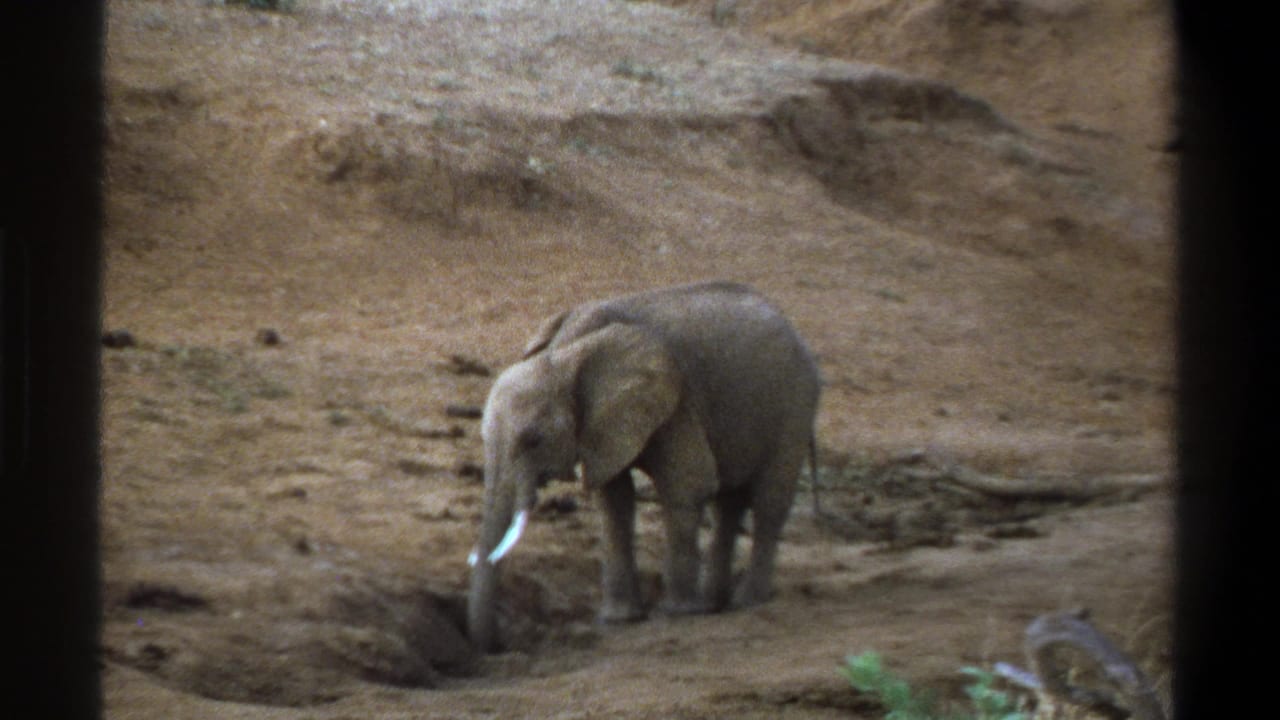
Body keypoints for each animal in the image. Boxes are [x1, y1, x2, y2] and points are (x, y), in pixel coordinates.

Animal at [465, 281, 821, 652]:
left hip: (795, 405)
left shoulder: (676, 402)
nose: (500, 643)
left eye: (534, 440)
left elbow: (687, 484)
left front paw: (677, 613)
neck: (564, 354)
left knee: (769, 500)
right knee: (729, 503)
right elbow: (614, 499)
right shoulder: (602, 425)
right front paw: (620, 619)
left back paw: (747, 601)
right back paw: (715, 604)